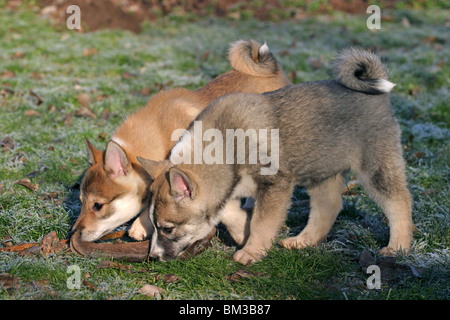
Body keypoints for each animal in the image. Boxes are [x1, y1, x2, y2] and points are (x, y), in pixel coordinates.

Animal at [138, 47, 414, 262]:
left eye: (167, 229)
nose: (154, 257)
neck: (225, 143)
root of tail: (374, 89)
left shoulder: (275, 185)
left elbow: (262, 222)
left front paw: (250, 252)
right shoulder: (228, 186)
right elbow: (228, 212)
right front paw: (242, 233)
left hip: (375, 166)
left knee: (399, 202)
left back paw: (397, 247)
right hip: (320, 168)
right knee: (329, 207)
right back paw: (302, 241)